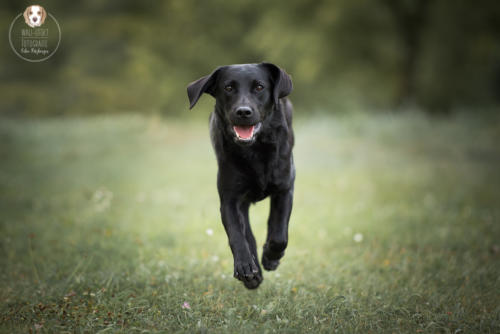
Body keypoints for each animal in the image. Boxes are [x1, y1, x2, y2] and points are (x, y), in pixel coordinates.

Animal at [188, 63, 294, 290]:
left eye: (259, 87)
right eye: (228, 88)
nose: (243, 112)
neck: (255, 151)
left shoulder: (285, 189)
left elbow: (279, 233)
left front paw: (271, 256)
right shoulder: (230, 200)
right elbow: (237, 234)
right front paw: (246, 267)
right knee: (248, 235)